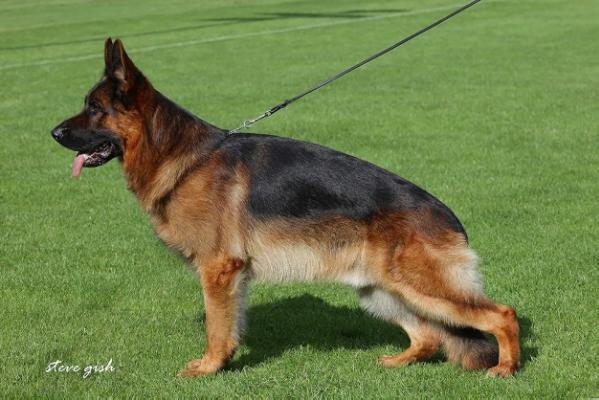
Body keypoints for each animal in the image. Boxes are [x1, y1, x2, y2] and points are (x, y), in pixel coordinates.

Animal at [51, 38, 520, 378]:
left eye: (94, 108)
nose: (53, 132)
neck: (181, 158)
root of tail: (448, 216)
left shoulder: (218, 271)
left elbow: (216, 328)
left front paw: (209, 368)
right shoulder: (232, 277)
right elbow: (229, 326)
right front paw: (222, 363)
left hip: (421, 288)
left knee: (502, 315)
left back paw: (505, 369)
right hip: (382, 290)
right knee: (428, 337)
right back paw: (400, 362)